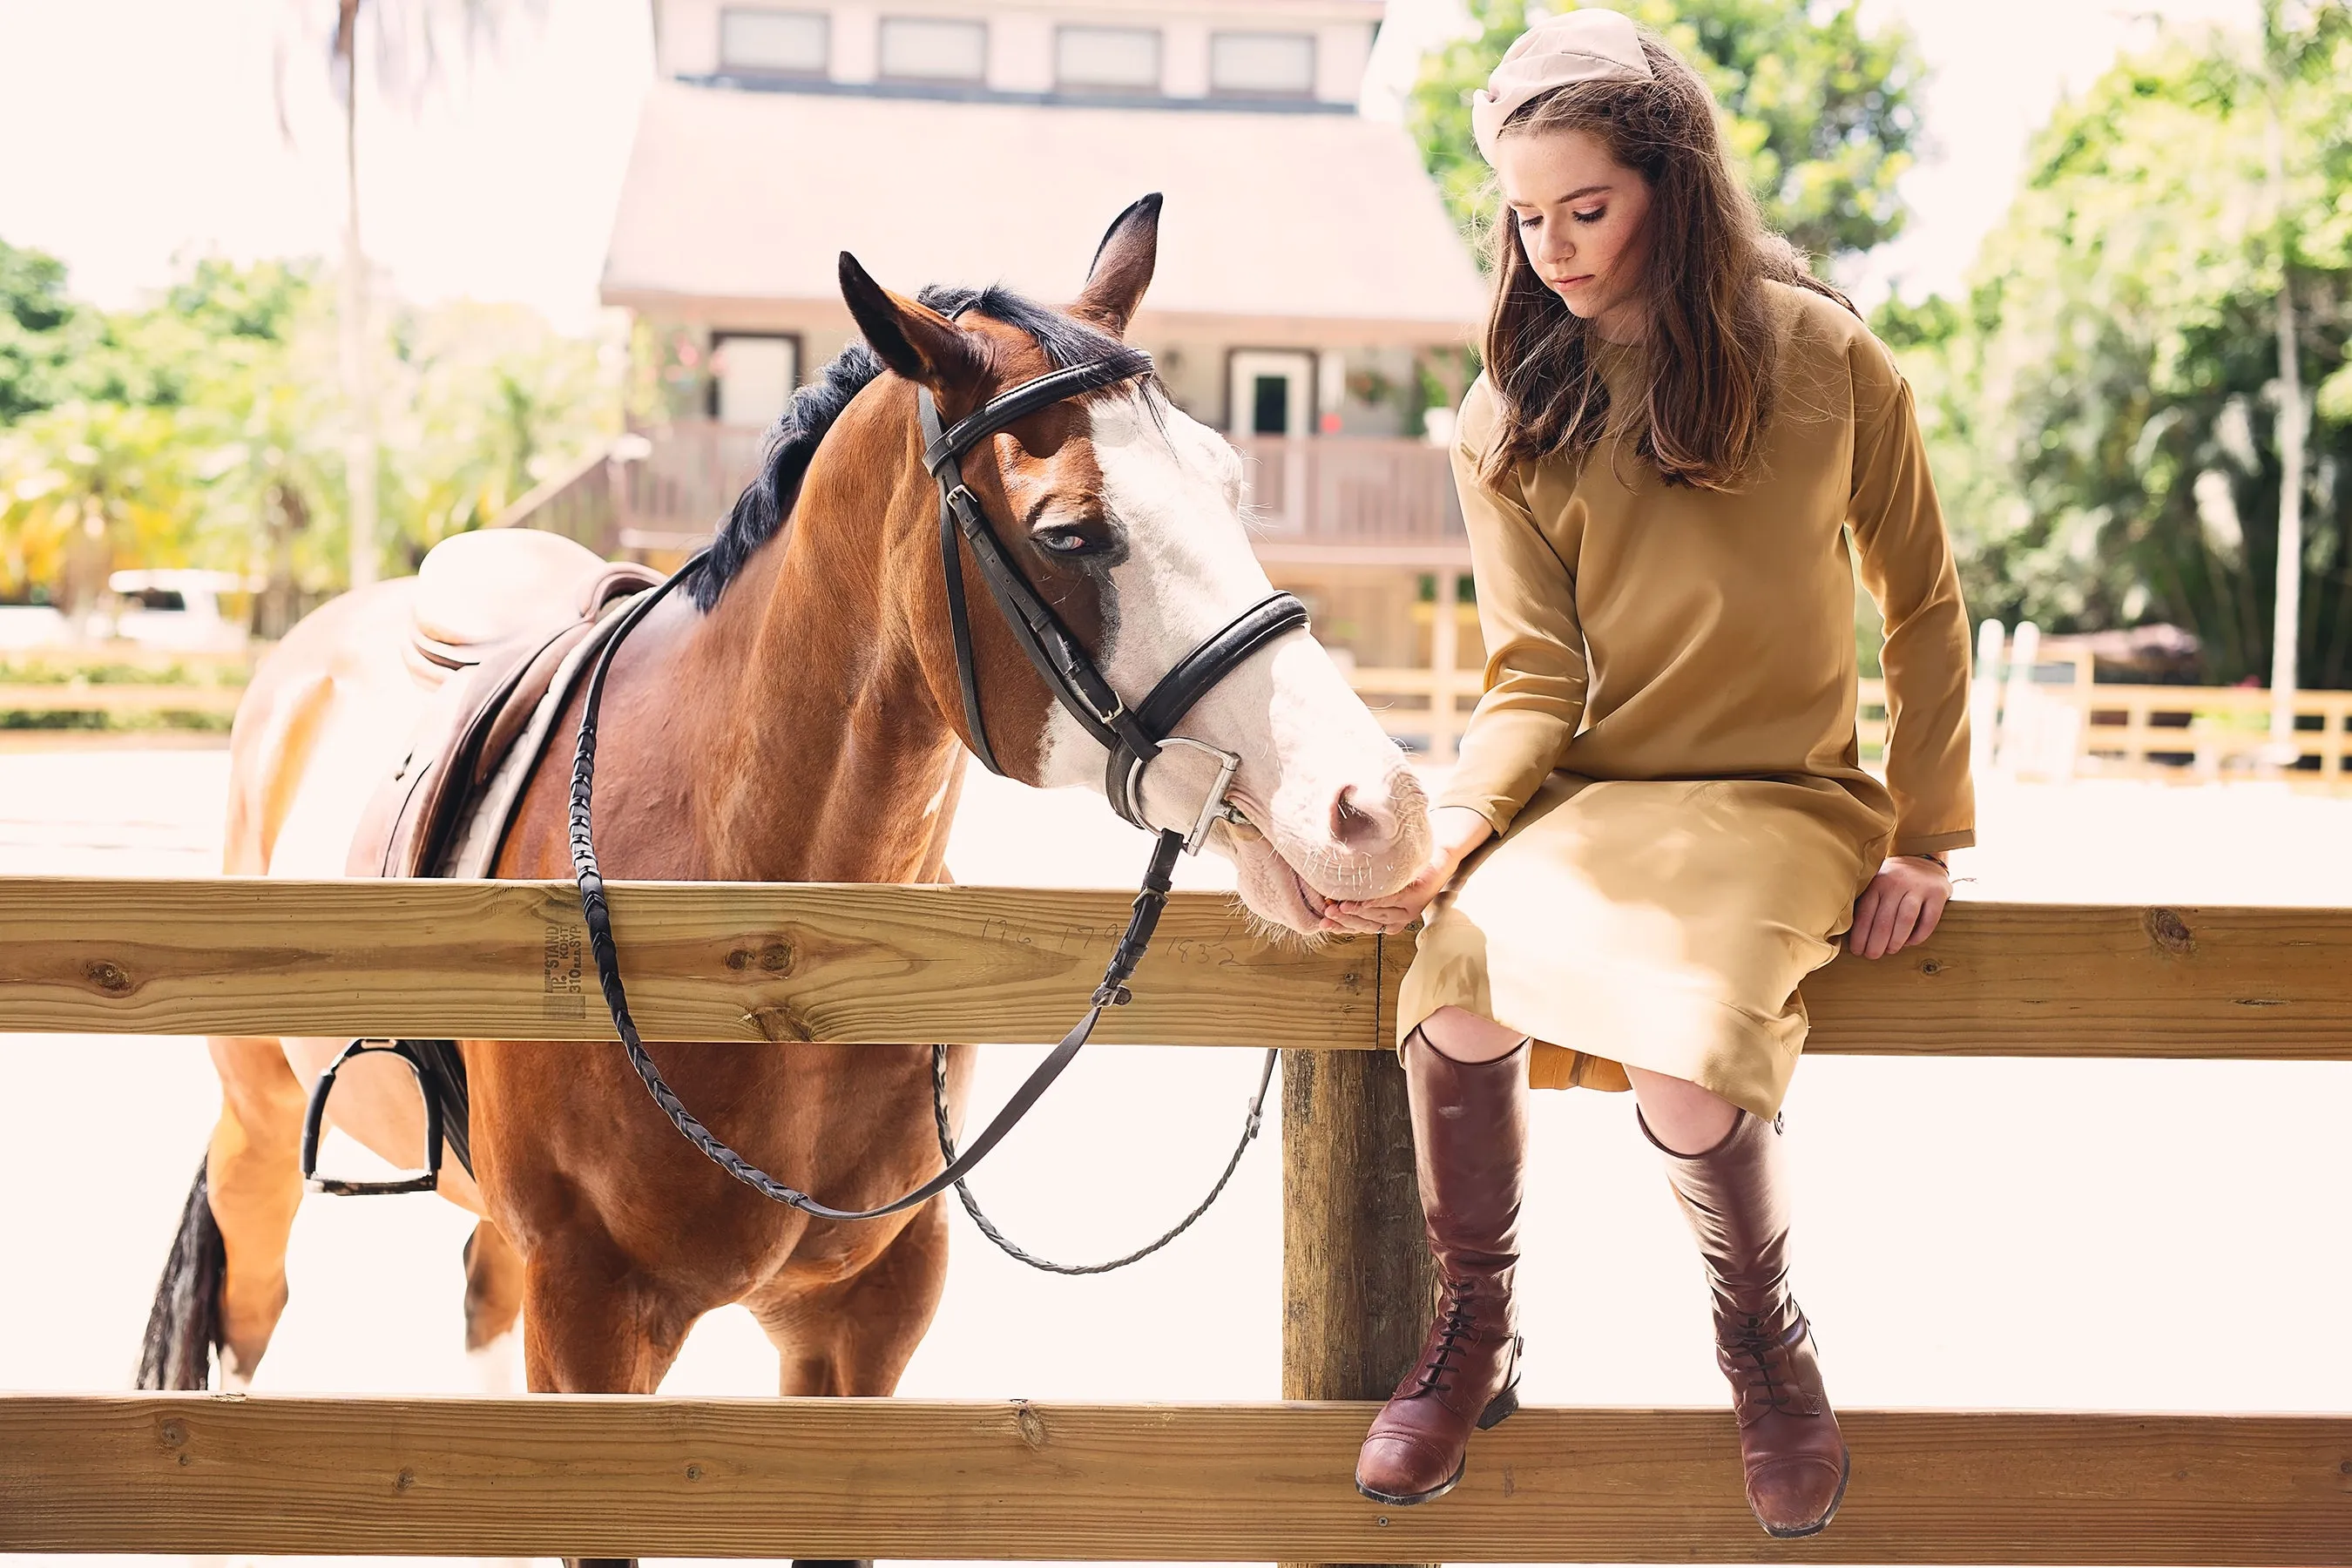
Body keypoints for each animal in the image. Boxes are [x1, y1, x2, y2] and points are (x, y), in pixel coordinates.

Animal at [142, 196, 1429, 1495]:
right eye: (1071, 532)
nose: (1373, 809)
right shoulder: (594, 1319)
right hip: (263, 1122)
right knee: (251, 1319)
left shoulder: (862, 1319)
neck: (768, 944)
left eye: (1229, 482)